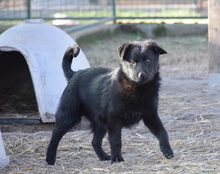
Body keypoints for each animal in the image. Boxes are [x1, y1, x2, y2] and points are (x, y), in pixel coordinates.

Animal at [46, 40, 174, 164]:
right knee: (55, 135)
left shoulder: (151, 115)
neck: (138, 89)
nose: (142, 75)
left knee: (95, 141)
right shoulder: (114, 119)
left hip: (101, 123)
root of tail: (74, 74)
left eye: (148, 61)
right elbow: (115, 140)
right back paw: (50, 158)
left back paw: (103, 156)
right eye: (132, 62)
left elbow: (163, 132)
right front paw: (117, 158)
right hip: (69, 116)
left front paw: (167, 151)